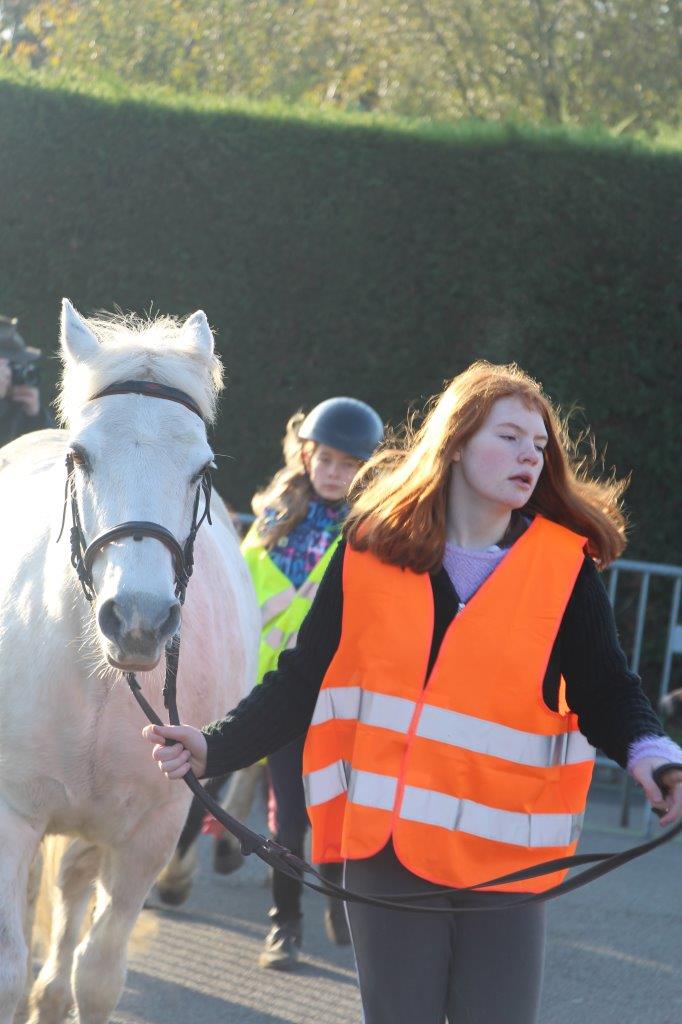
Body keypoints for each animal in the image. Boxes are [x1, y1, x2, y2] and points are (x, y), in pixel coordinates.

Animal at [0, 301, 260, 1024]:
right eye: (80, 456)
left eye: (202, 469)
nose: (139, 619)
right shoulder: (10, 815)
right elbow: (7, 971)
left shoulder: (150, 831)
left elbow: (99, 975)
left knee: (71, 889)